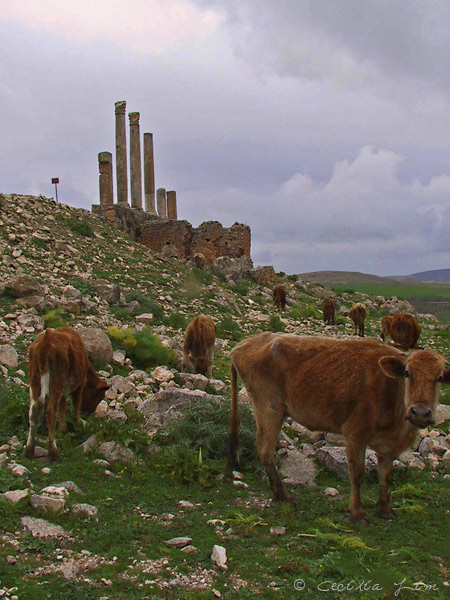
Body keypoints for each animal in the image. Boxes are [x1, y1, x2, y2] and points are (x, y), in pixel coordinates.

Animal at [25, 328, 108, 460]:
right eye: (99, 397)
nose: (88, 413)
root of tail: (46, 339)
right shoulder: (80, 384)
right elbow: (75, 405)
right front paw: (78, 423)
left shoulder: (63, 391)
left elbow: (62, 406)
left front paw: (62, 428)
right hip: (56, 380)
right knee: (51, 411)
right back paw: (54, 452)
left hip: (35, 380)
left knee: (33, 411)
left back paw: (29, 450)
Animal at [229, 332, 450, 520]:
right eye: (407, 373)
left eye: (439, 378)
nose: (420, 412)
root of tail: (243, 345)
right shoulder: (355, 433)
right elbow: (358, 474)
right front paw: (358, 512)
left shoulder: (388, 447)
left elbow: (385, 476)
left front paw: (385, 509)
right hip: (269, 408)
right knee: (265, 449)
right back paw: (284, 496)